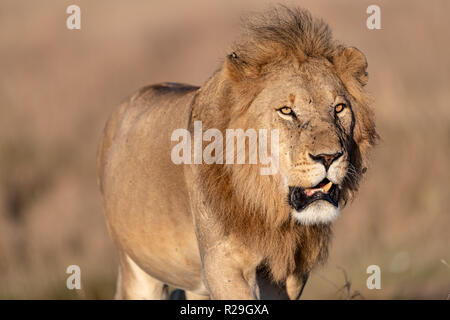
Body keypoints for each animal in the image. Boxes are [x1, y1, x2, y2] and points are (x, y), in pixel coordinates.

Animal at [96, 6, 378, 298]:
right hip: (137, 271)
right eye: (286, 111)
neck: (268, 206)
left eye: (339, 108)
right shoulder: (222, 264)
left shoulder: (289, 274)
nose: (329, 157)